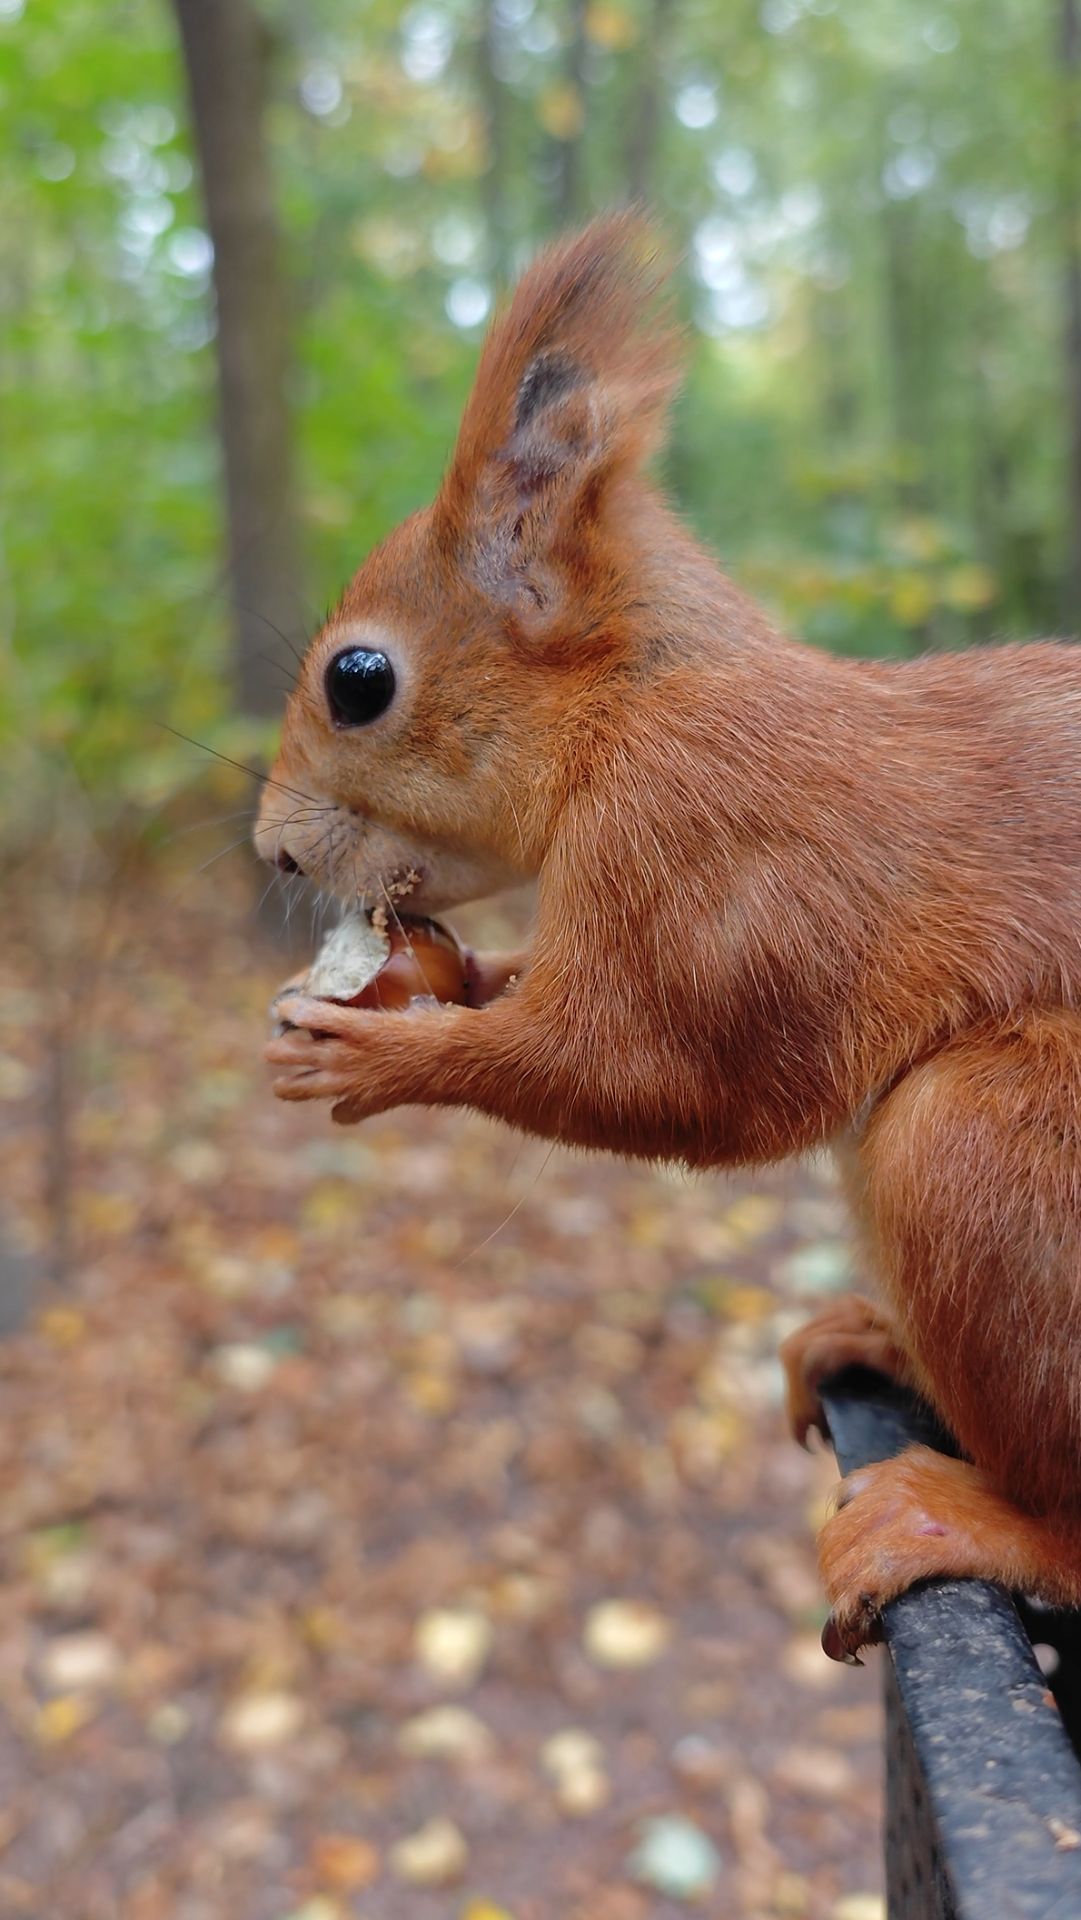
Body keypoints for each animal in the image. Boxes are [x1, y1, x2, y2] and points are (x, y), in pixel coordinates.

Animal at [257, 212, 1081, 1660]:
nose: (272, 851)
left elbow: (673, 1077)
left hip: (984, 1149)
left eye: (358, 681)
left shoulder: (706, 850)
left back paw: (959, 1520)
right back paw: (872, 1340)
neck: (630, 709)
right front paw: (468, 976)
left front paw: (381, 1059)